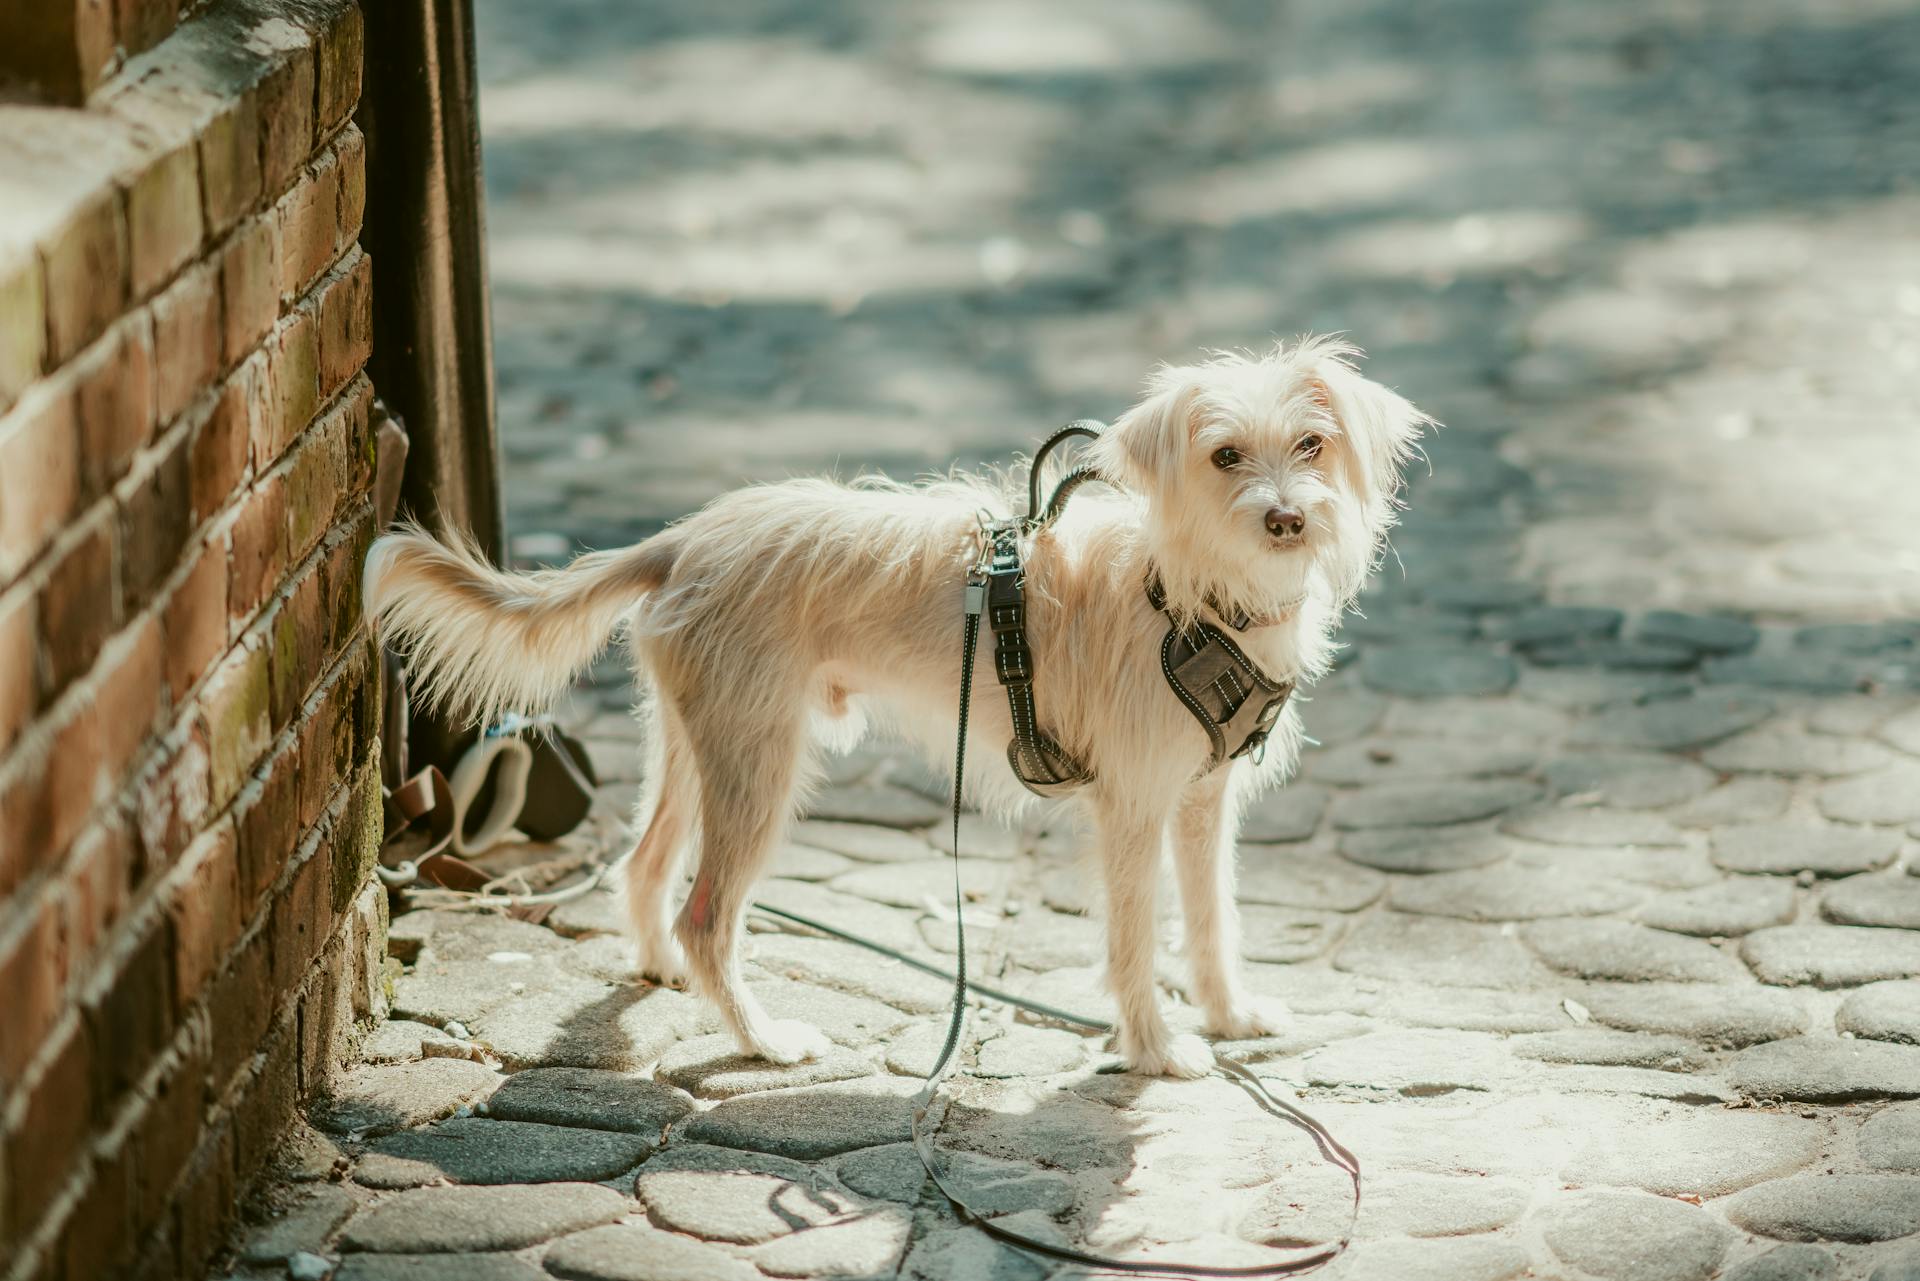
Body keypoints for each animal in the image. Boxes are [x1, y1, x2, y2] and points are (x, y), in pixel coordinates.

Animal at [370, 336, 1428, 1075]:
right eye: (1223, 456)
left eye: (1312, 444)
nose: (1286, 517)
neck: (1191, 596)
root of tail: (685, 538)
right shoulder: (1132, 811)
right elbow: (1134, 939)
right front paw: (1159, 1050)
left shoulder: (1202, 804)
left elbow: (1212, 921)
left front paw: (1230, 1014)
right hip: (760, 768)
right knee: (709, 914)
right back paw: (759, 1040)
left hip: (698, 747)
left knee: (645, 866)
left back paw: (665, 968)